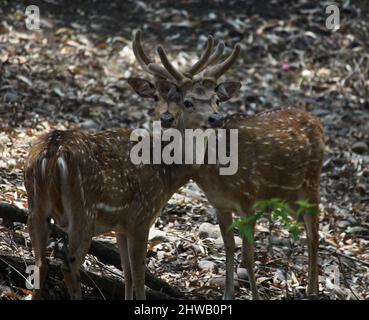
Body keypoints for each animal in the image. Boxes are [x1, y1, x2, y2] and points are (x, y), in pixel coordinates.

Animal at [128, 31, 324, 298]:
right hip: (290, 194)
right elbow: (229, 246)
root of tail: (316, 121)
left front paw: (255, 296)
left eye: (216, 100)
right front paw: (228, 293)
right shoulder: (220, 204)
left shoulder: (249, 198)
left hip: (313, 180)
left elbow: (248, 256)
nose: (215, 118)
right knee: (307, 227)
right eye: (188, 102)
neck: (215, 173)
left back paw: (312, 289)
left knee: (315, 231)